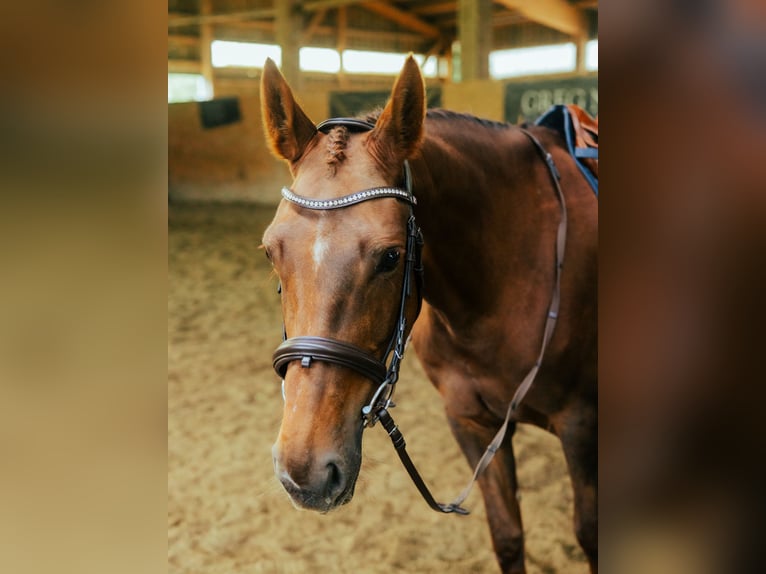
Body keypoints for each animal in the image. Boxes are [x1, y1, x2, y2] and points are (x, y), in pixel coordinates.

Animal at [260, 56, 597, 574]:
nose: (305, 472)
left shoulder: (581, 425)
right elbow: (508, 535)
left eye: (391, 257)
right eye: (270, 252)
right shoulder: (471, 422)